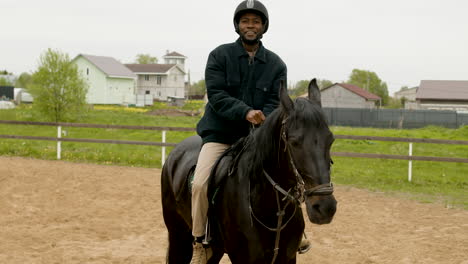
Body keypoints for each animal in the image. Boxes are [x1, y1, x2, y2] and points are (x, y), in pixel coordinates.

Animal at [161, 79, 336, 262]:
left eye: (330, 139)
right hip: (178, 237)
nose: (325, 208)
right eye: (294, 142)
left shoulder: (287, 258)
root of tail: (174, 153)